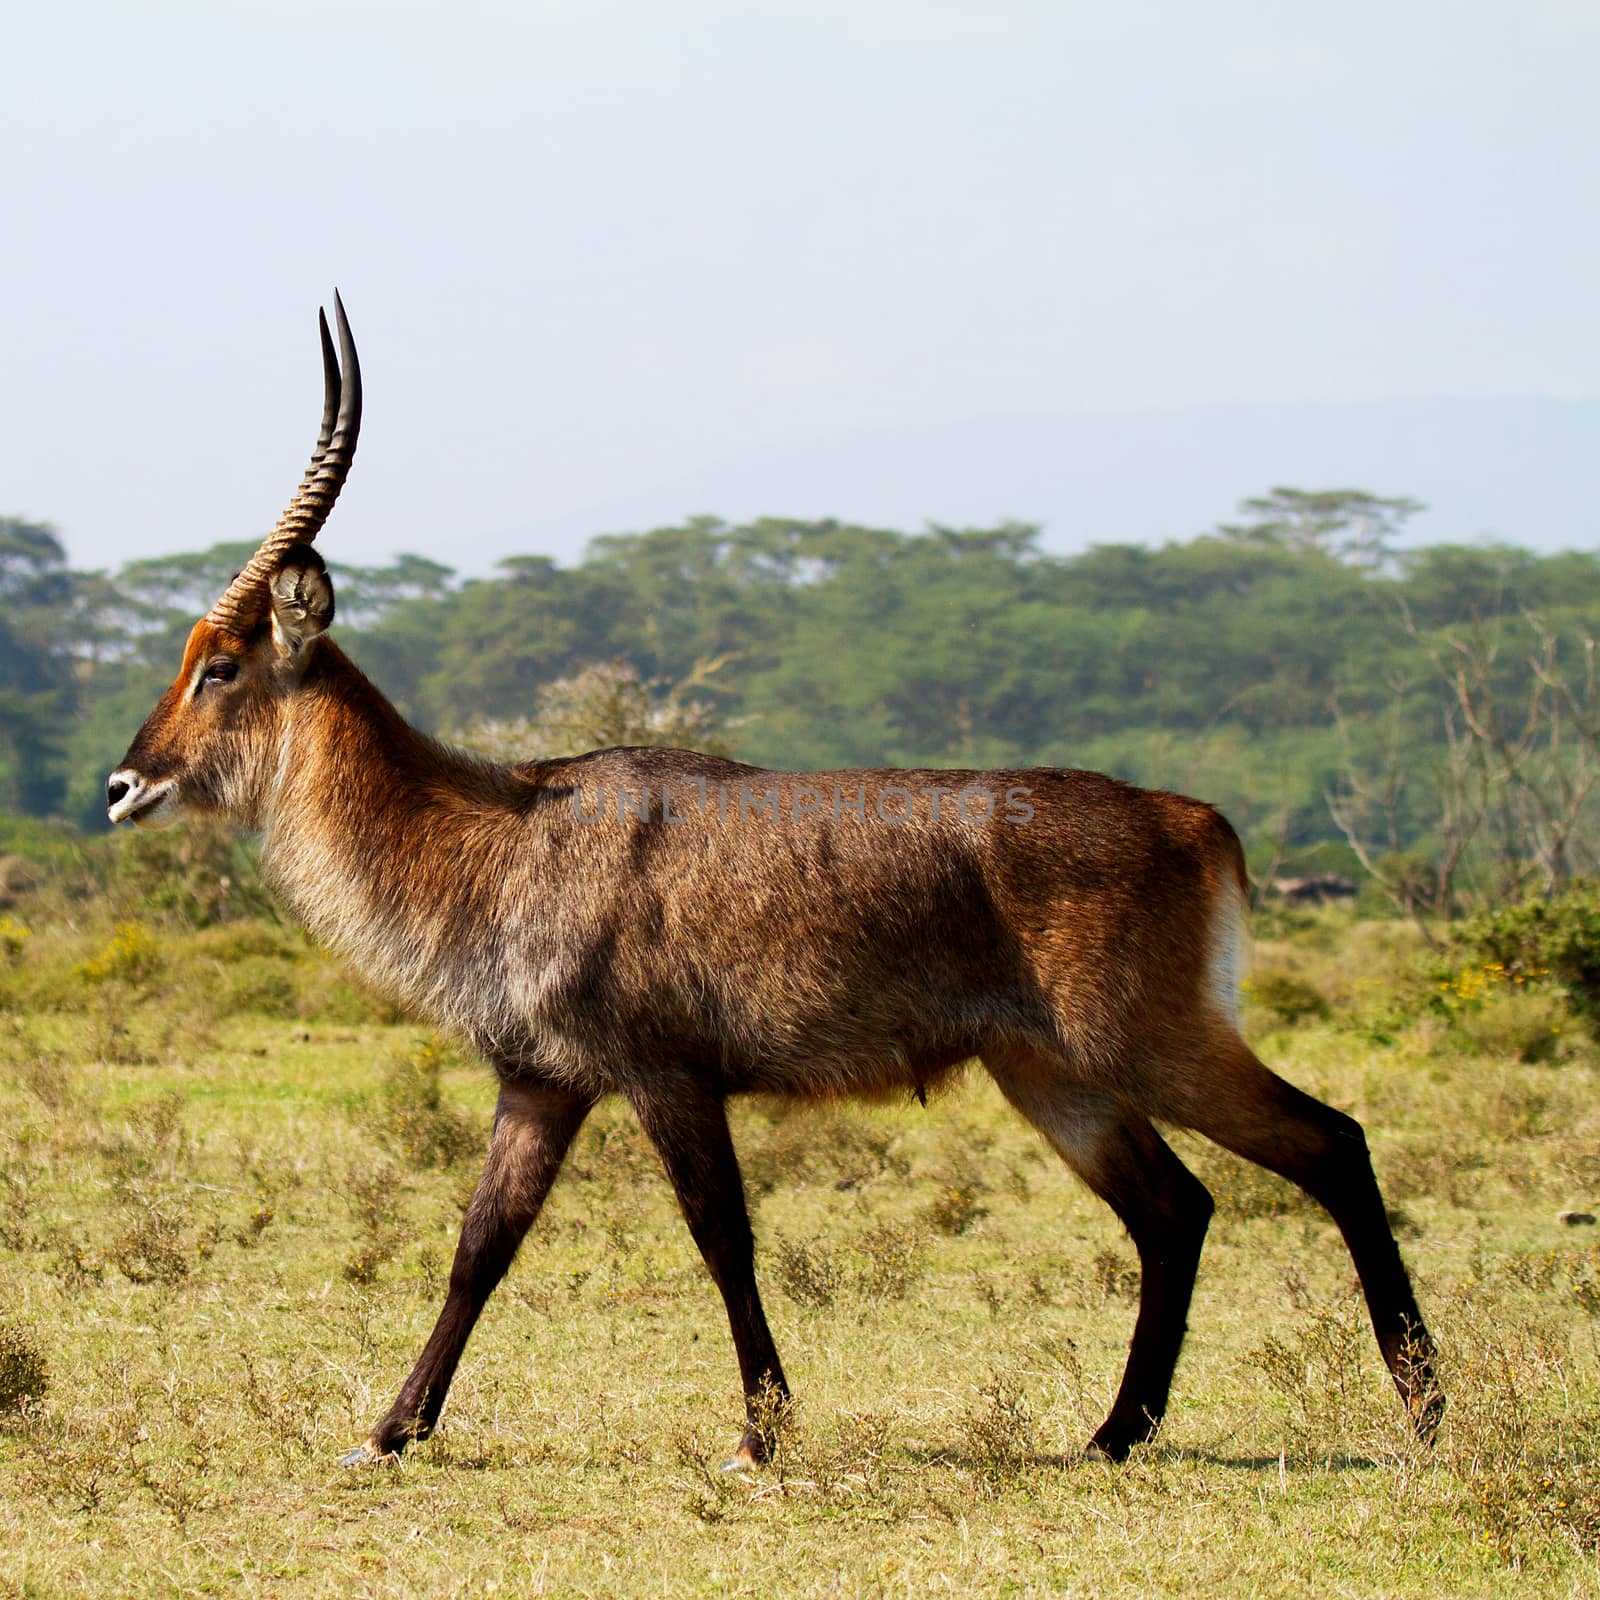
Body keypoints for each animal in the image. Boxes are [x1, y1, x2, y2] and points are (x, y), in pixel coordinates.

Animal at [106, 297, 1446, 1465]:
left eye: (219, 665)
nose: (122, 786)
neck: (496, 830)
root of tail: (1192, 815)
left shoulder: (664, 1074)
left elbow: (723, 1239)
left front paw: (761, 1436)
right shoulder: (541, 1082)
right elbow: (480, 1244)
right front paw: (391, 1431)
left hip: (1149, 1041)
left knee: (1331, 1143)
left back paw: (1423, 1412)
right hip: (1051, 1071)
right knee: (1175, 1210)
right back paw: (1116, 1434)